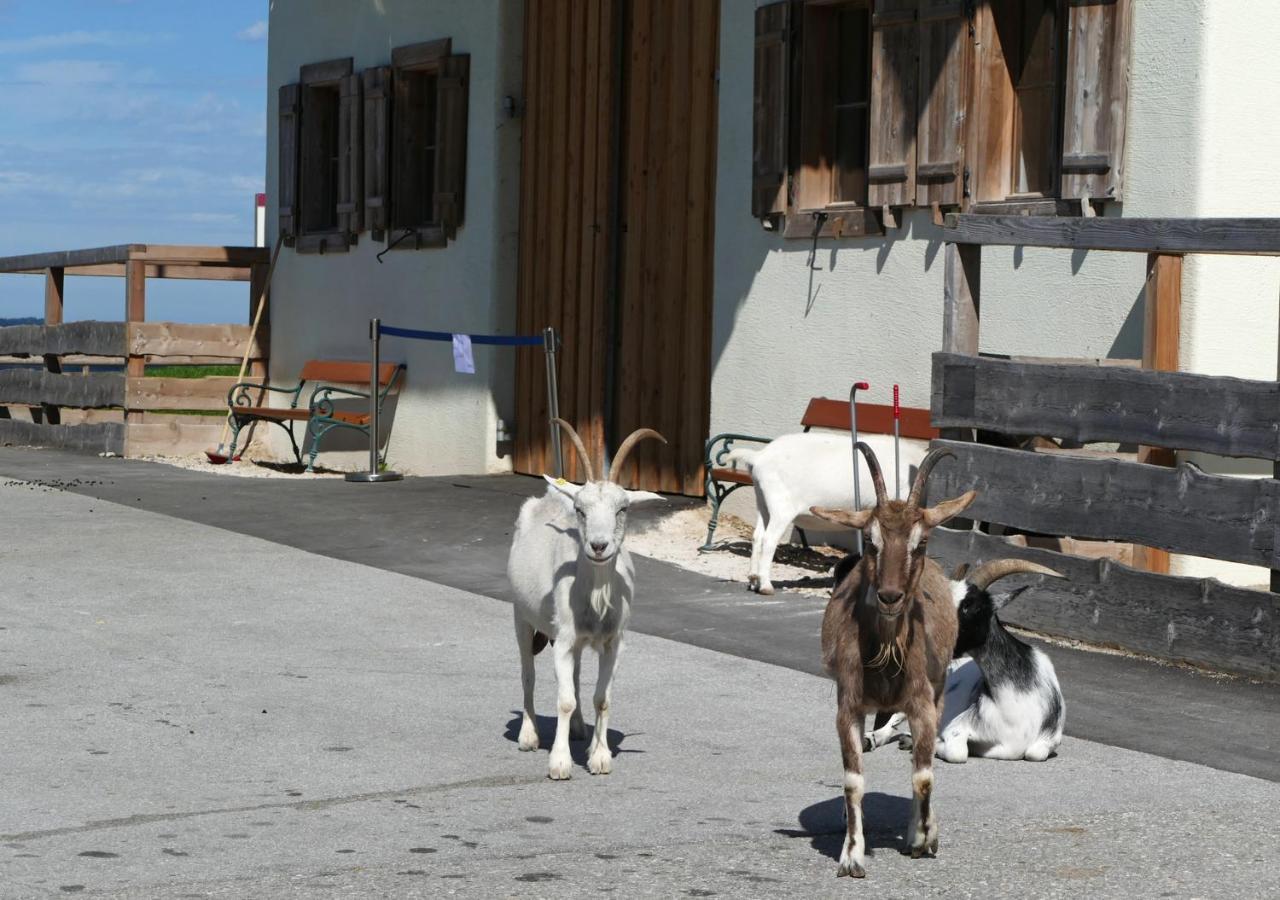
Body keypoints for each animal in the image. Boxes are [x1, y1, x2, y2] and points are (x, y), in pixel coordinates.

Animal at [504, 419, 665, 778]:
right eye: (580, 509)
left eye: (622, 509)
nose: (599, 546)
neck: (596, 599)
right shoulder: (563, 638)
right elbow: (564, 700)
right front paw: (560, 763)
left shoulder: (613, 642)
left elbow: (601, 698)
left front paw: (600, 756)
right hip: (521, 618)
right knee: (527, 674)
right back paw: (528, 735)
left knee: (576, 678)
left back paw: (580, 730)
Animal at [727, 432, 926, 594]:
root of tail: (758, 457)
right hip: (780, 506)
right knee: (769, 539)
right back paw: (765, 586)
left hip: (762, 501)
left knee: (757, 536)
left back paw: (753, 580)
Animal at [814, 442, 972, 880]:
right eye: (871, 541)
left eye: (922, 542)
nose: (889, 596)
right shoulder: (848, 705)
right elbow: (853, 781)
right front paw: (851, 857)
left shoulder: (922, 703)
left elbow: (923, 776)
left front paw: (922, 838)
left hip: (937, 694)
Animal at [860, 560, 1070, 763]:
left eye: (971, 606)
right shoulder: (957, 727)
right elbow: (957, 753)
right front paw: (931, 744)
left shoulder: (1049, 740)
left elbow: (1035, 753)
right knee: (894, 720)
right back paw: (870, 739)